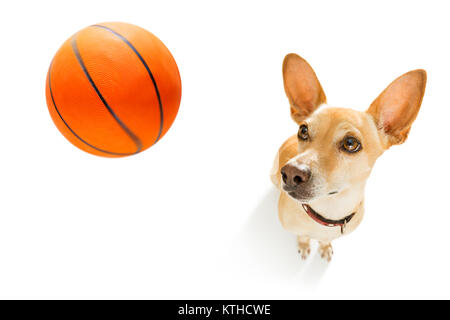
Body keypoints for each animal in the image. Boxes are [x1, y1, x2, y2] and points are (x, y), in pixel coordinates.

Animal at [270, 53, 426, 262]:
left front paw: (324, 246)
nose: (290, 173)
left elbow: (325, 240)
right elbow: (302, 235)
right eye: (303, 130)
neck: (328, 213)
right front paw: (303, 244)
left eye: (350, 143)